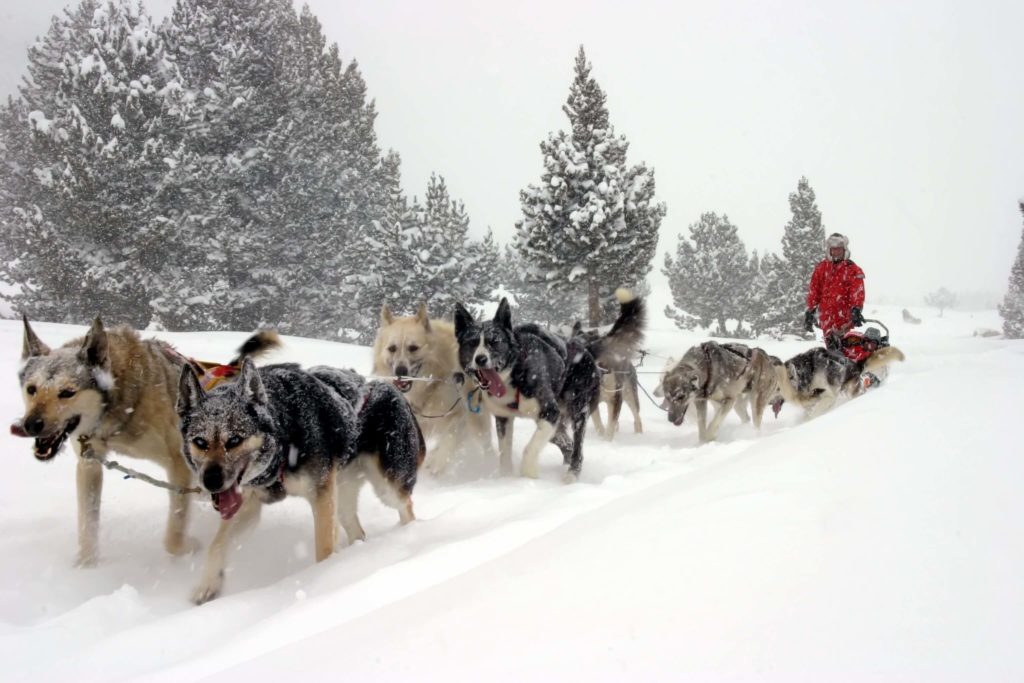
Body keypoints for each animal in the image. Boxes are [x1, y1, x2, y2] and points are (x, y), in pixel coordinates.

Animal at [12, 317, 201, 569]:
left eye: (67, 392)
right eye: (32, 389)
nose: (31, 425)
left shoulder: (179, 464)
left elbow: (173, 536)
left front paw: (190, 548)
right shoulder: (89, 463)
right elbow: (87, 524)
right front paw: (86, 567)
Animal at [176, 356, 423, 606]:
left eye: (234, 440)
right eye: (200, 442)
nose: (211, 482)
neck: (285, 430)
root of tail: (394, 392)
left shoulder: (321, 496)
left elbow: (324, 548)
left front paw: (319, 581)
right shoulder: (247, 502)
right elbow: (217, 545)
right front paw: (208, 585)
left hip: (387, 489)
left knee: (407, 508)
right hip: (343, 497)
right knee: (356, 529)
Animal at [569, 286, 647, 438]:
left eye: (586, 349)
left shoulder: (616, 399)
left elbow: (610, 425)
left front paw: (606, 439)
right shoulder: (588, 402)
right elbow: (599, 424)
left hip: (629, 394)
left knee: (637, 417)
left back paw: (638, 434)